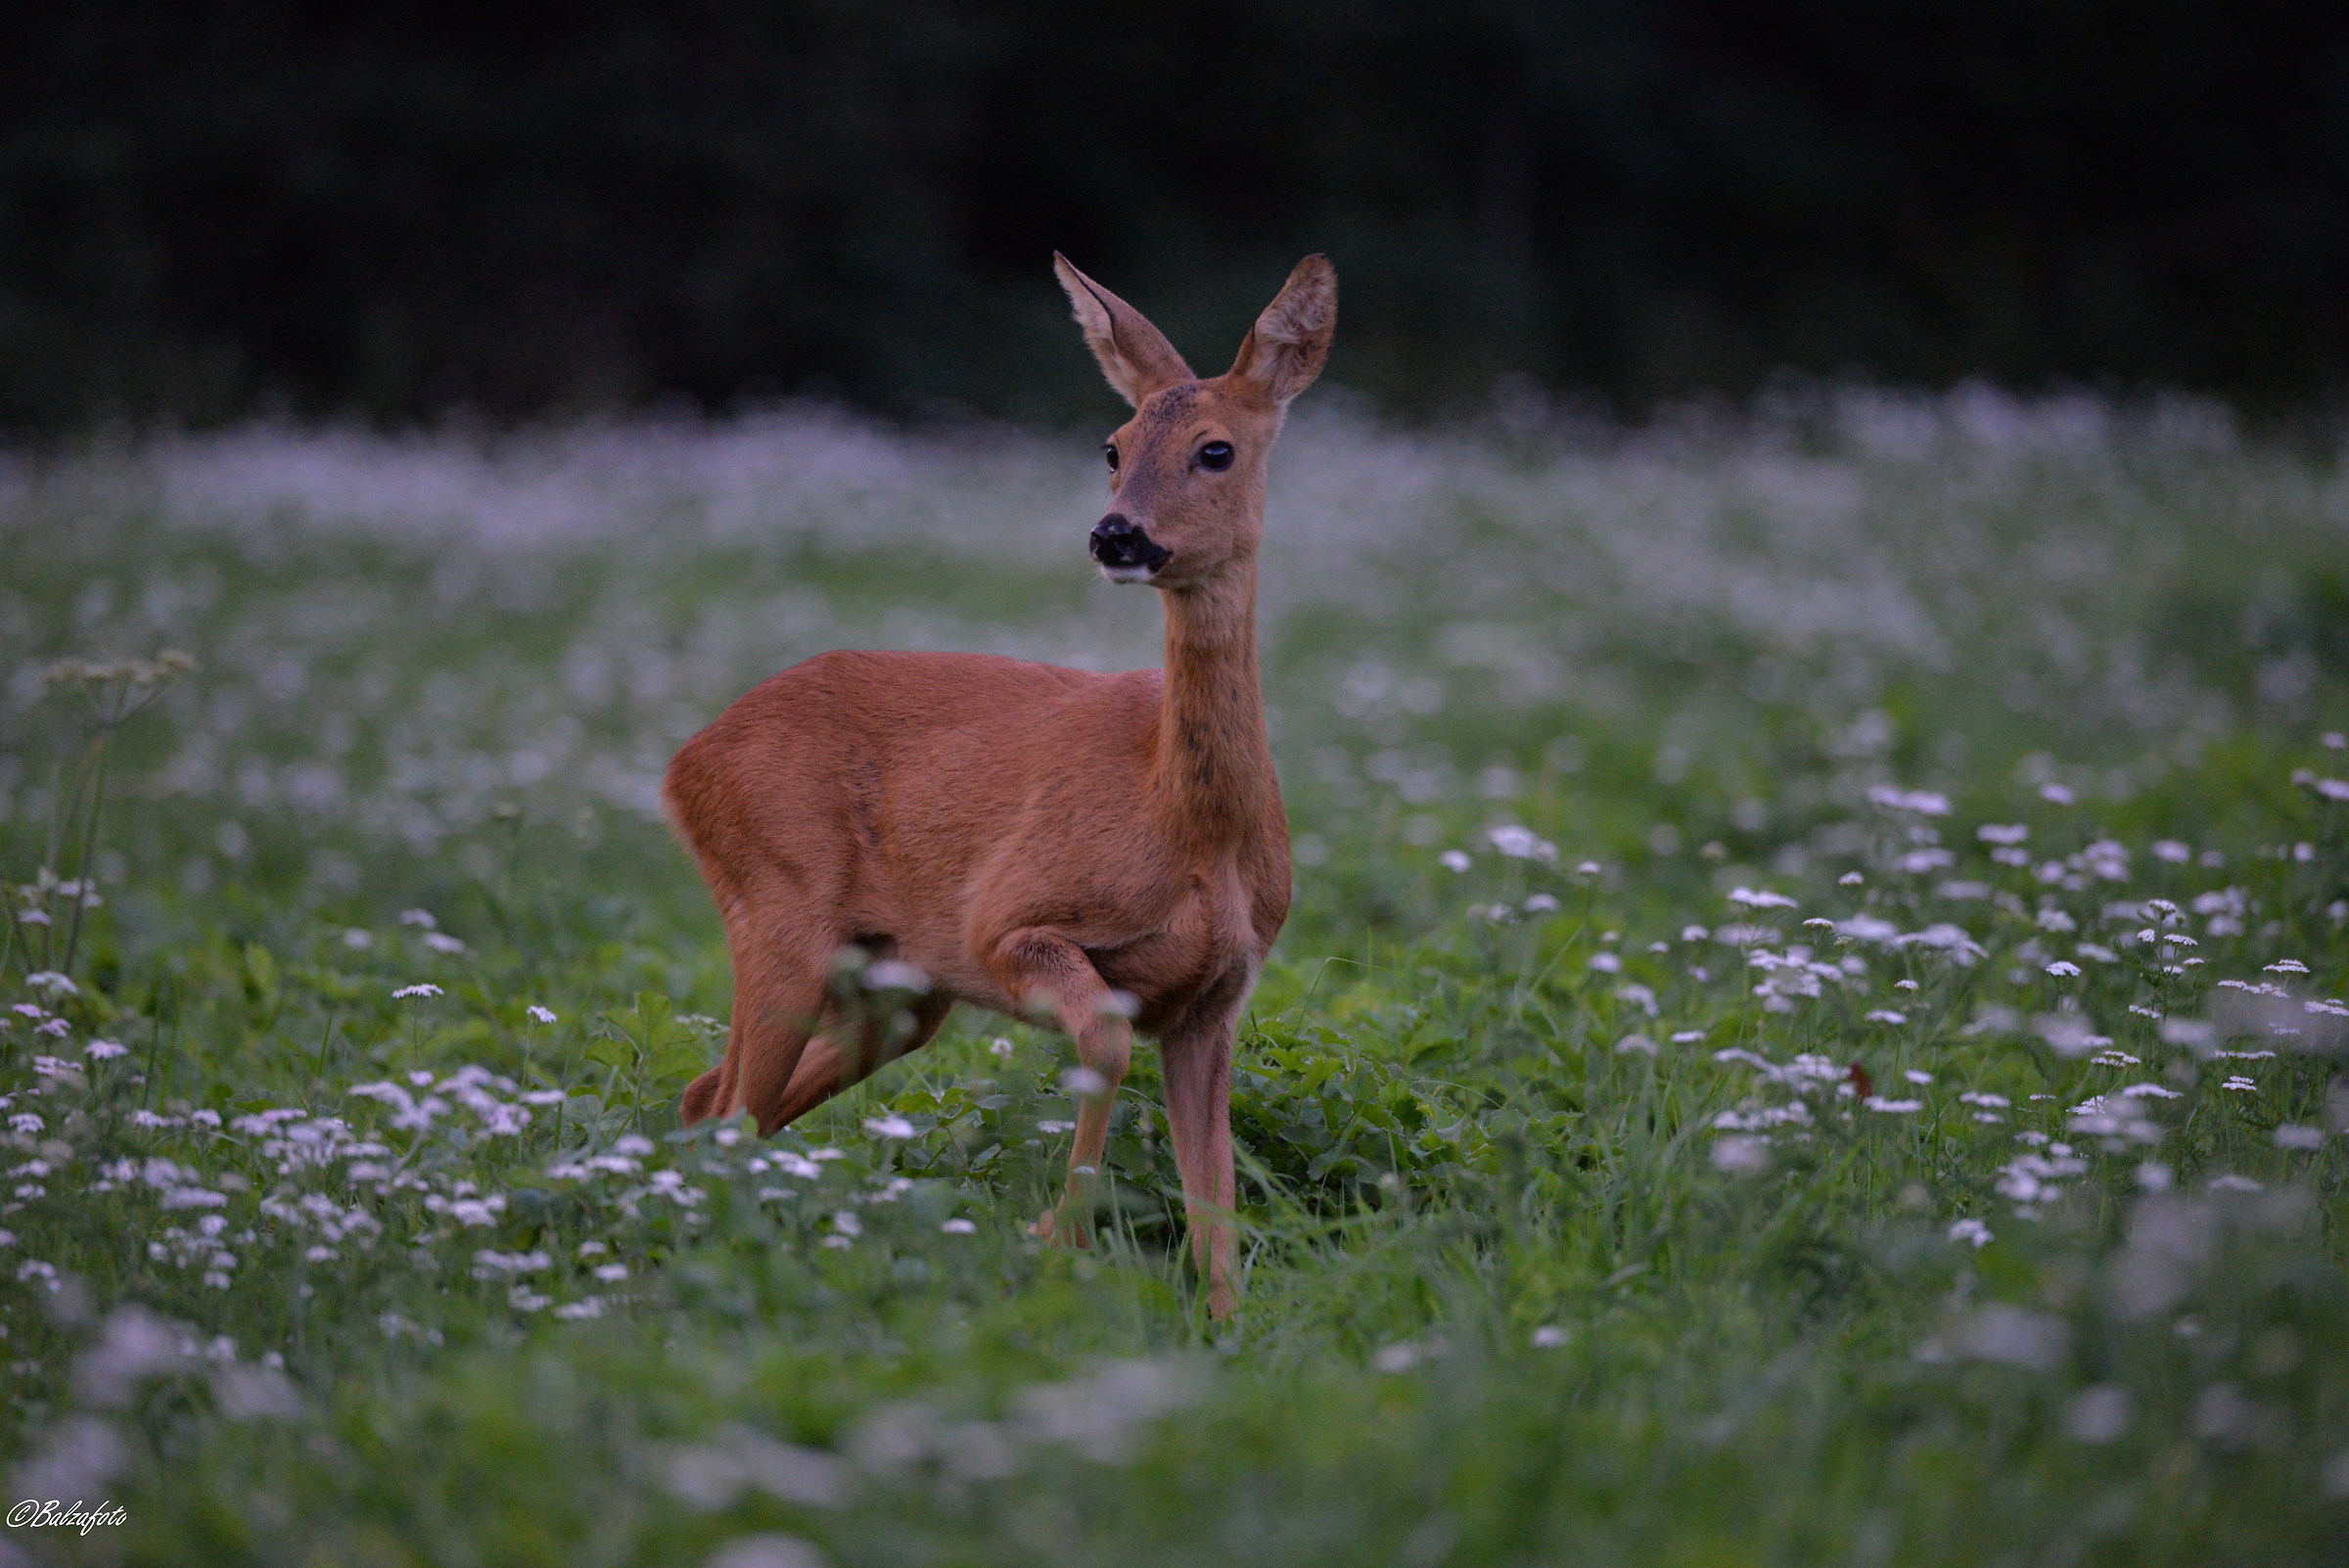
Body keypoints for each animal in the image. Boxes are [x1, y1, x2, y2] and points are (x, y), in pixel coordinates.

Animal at [662, 253, 1335, 1318]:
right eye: (1112, 446)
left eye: (1217, 450)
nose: (1116, 535)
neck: (1189, 827)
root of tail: (683, 762)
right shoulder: (1008, 919)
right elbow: (1103, 1045)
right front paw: (1055, 1237)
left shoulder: (1215, 1001)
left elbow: (1215, 1207)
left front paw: (1227, 1327)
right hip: (778, 912)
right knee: (726, 1113)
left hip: (893, 988)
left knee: (712, 1102)